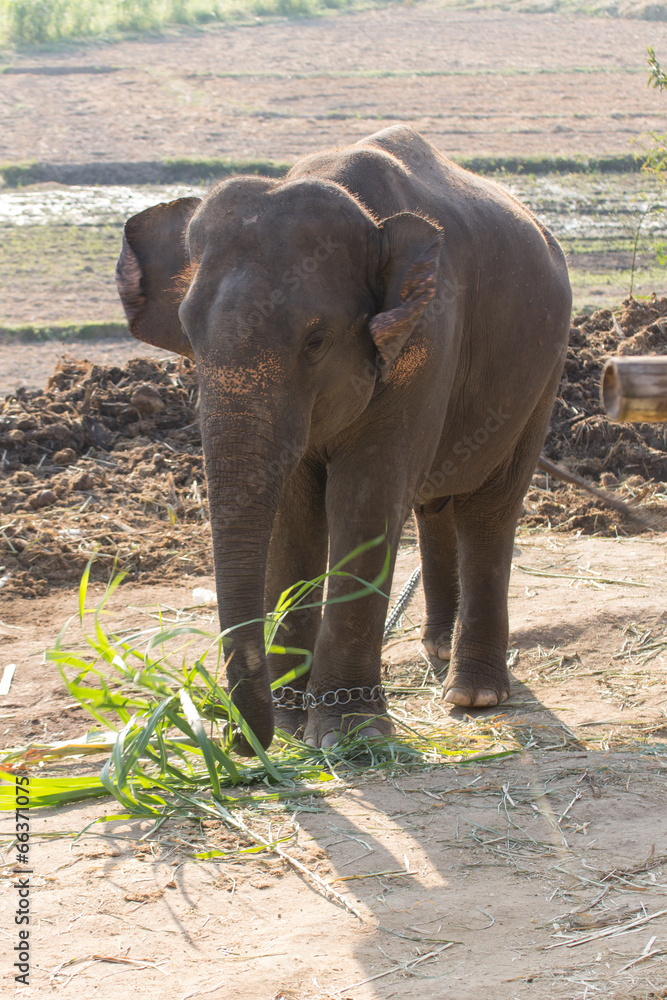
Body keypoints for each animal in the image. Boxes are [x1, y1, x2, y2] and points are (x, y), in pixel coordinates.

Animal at [115, 124, 572, 754]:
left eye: (316, 341)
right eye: (186, 332)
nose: (239, 740)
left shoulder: (427, 336)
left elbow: (367, 495)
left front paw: (348, 733)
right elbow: (293, 512)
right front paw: (289, 722)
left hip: (543, 373)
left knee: (491, 507)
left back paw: (472, 695)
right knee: (435, 505)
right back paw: (436, 647)